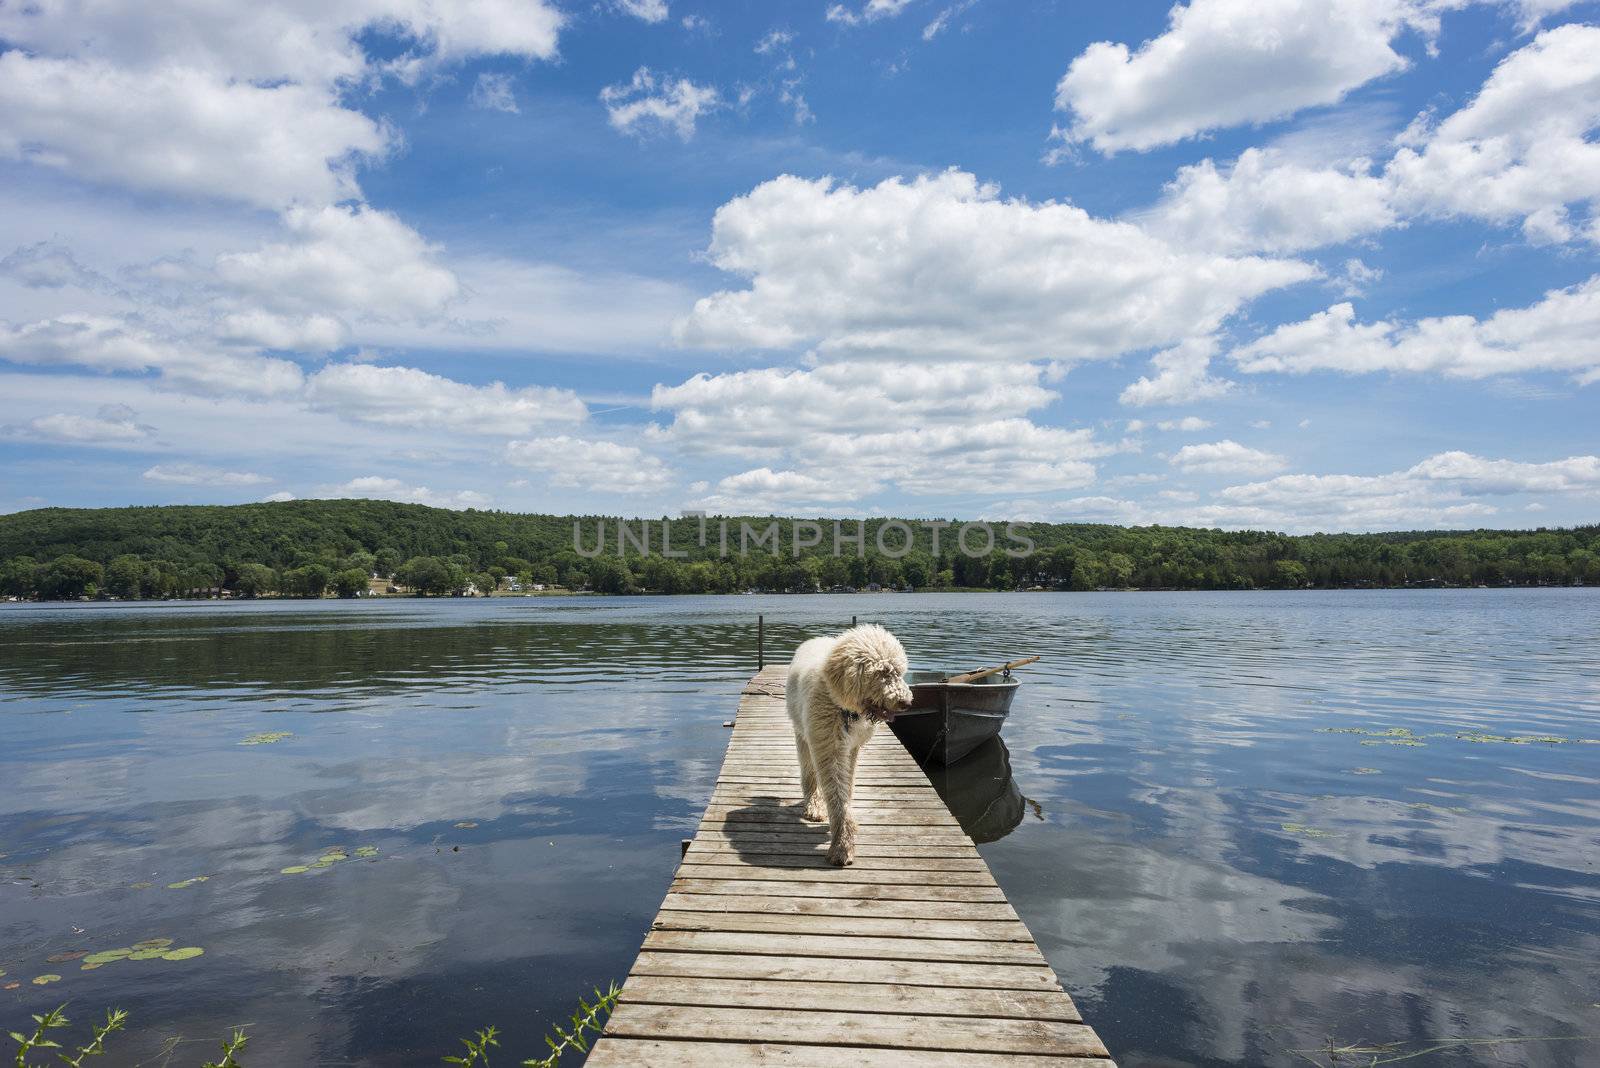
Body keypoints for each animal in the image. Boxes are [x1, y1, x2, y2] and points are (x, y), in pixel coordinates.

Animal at [787, 626, 915, 869]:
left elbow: (847, 784)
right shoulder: (828, 747)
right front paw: (841, 847)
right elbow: (836, 796)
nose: (906, 703)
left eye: (899, 672)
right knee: (809, 774)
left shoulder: (852, 748)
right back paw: (813, 806)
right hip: (802, 735)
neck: (843, 708)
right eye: (883, 672)